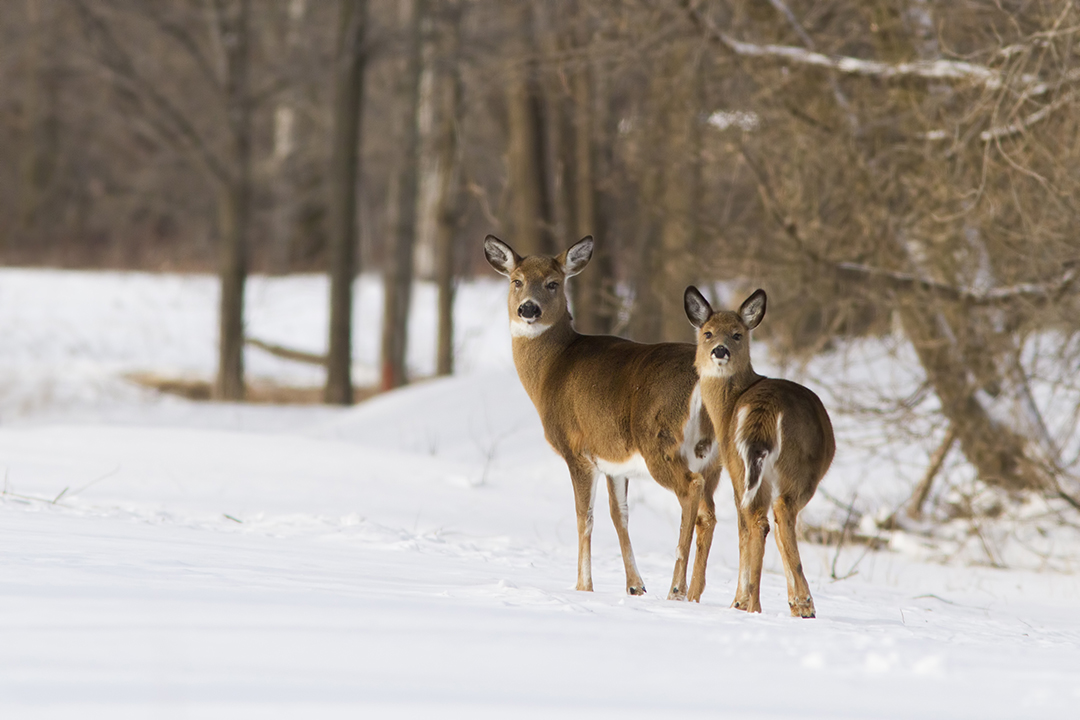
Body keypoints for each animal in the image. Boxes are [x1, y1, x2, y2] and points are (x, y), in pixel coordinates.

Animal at [484, 234, 722, 600]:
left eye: (553, 283)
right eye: (516, 281)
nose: (528, 309)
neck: (551, 370)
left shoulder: (577, 449)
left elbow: (584, 516)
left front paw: (584, 585)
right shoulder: (613, 459)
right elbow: (619, 514)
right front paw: (635, 586)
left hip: (661, 442)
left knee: (689, 491)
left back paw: (677, 589)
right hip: (714, 457)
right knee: (710, 513)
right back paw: (696, 594)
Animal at [683, 286, 835, 617]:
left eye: (737, 334)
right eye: (708, 333)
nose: (720, 351)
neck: (727, 407)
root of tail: (765, 409)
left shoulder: (732, 466)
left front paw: (742, 600)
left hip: (757, 466)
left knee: (763, 519)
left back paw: (770, 603)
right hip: (789, 469)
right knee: (774, 517)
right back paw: (793, 603)